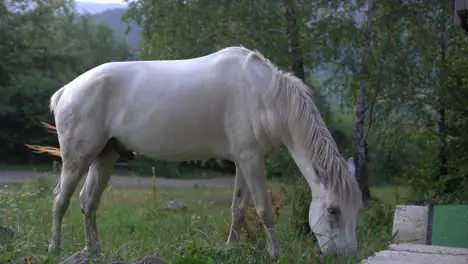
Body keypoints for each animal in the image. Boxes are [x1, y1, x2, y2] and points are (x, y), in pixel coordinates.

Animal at [46, 46, 362, 258]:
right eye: (333, 210)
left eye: (357, 209)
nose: (347, 256)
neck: (265, 96)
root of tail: (67, 90)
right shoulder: (252, 162)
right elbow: (265, 210)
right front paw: (277, 254)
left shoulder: (244, 161)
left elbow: (239, 208)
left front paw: (231, 248)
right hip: (77, 160)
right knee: (61, 199)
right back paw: (54, 247)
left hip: (105, 157)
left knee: (88, 201)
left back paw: (93, 251)